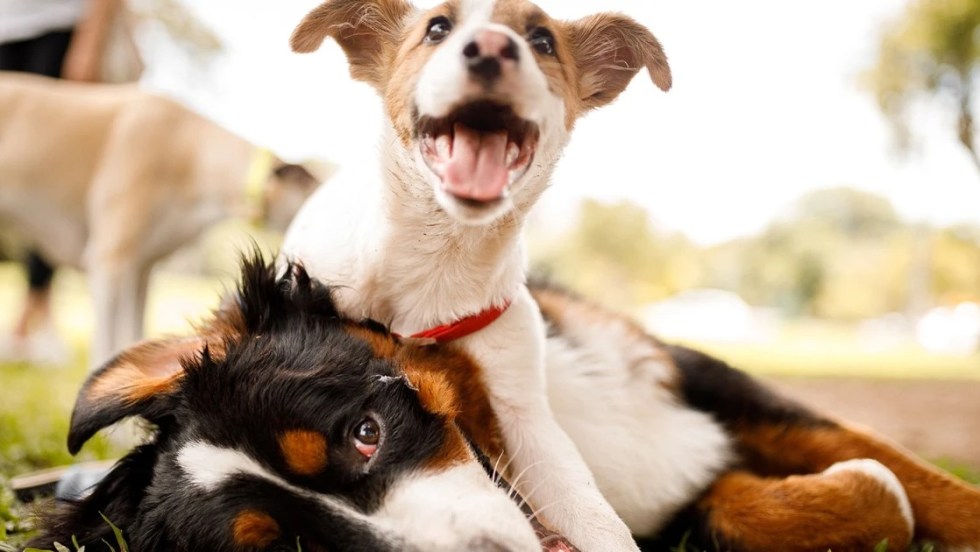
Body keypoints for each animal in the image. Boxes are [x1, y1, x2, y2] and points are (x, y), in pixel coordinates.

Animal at [288, 1, 672, 552]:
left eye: (542, 40)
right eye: (437, 28)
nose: (490, 48)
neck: (440, 256)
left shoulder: (524, 416)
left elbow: (599, 520)